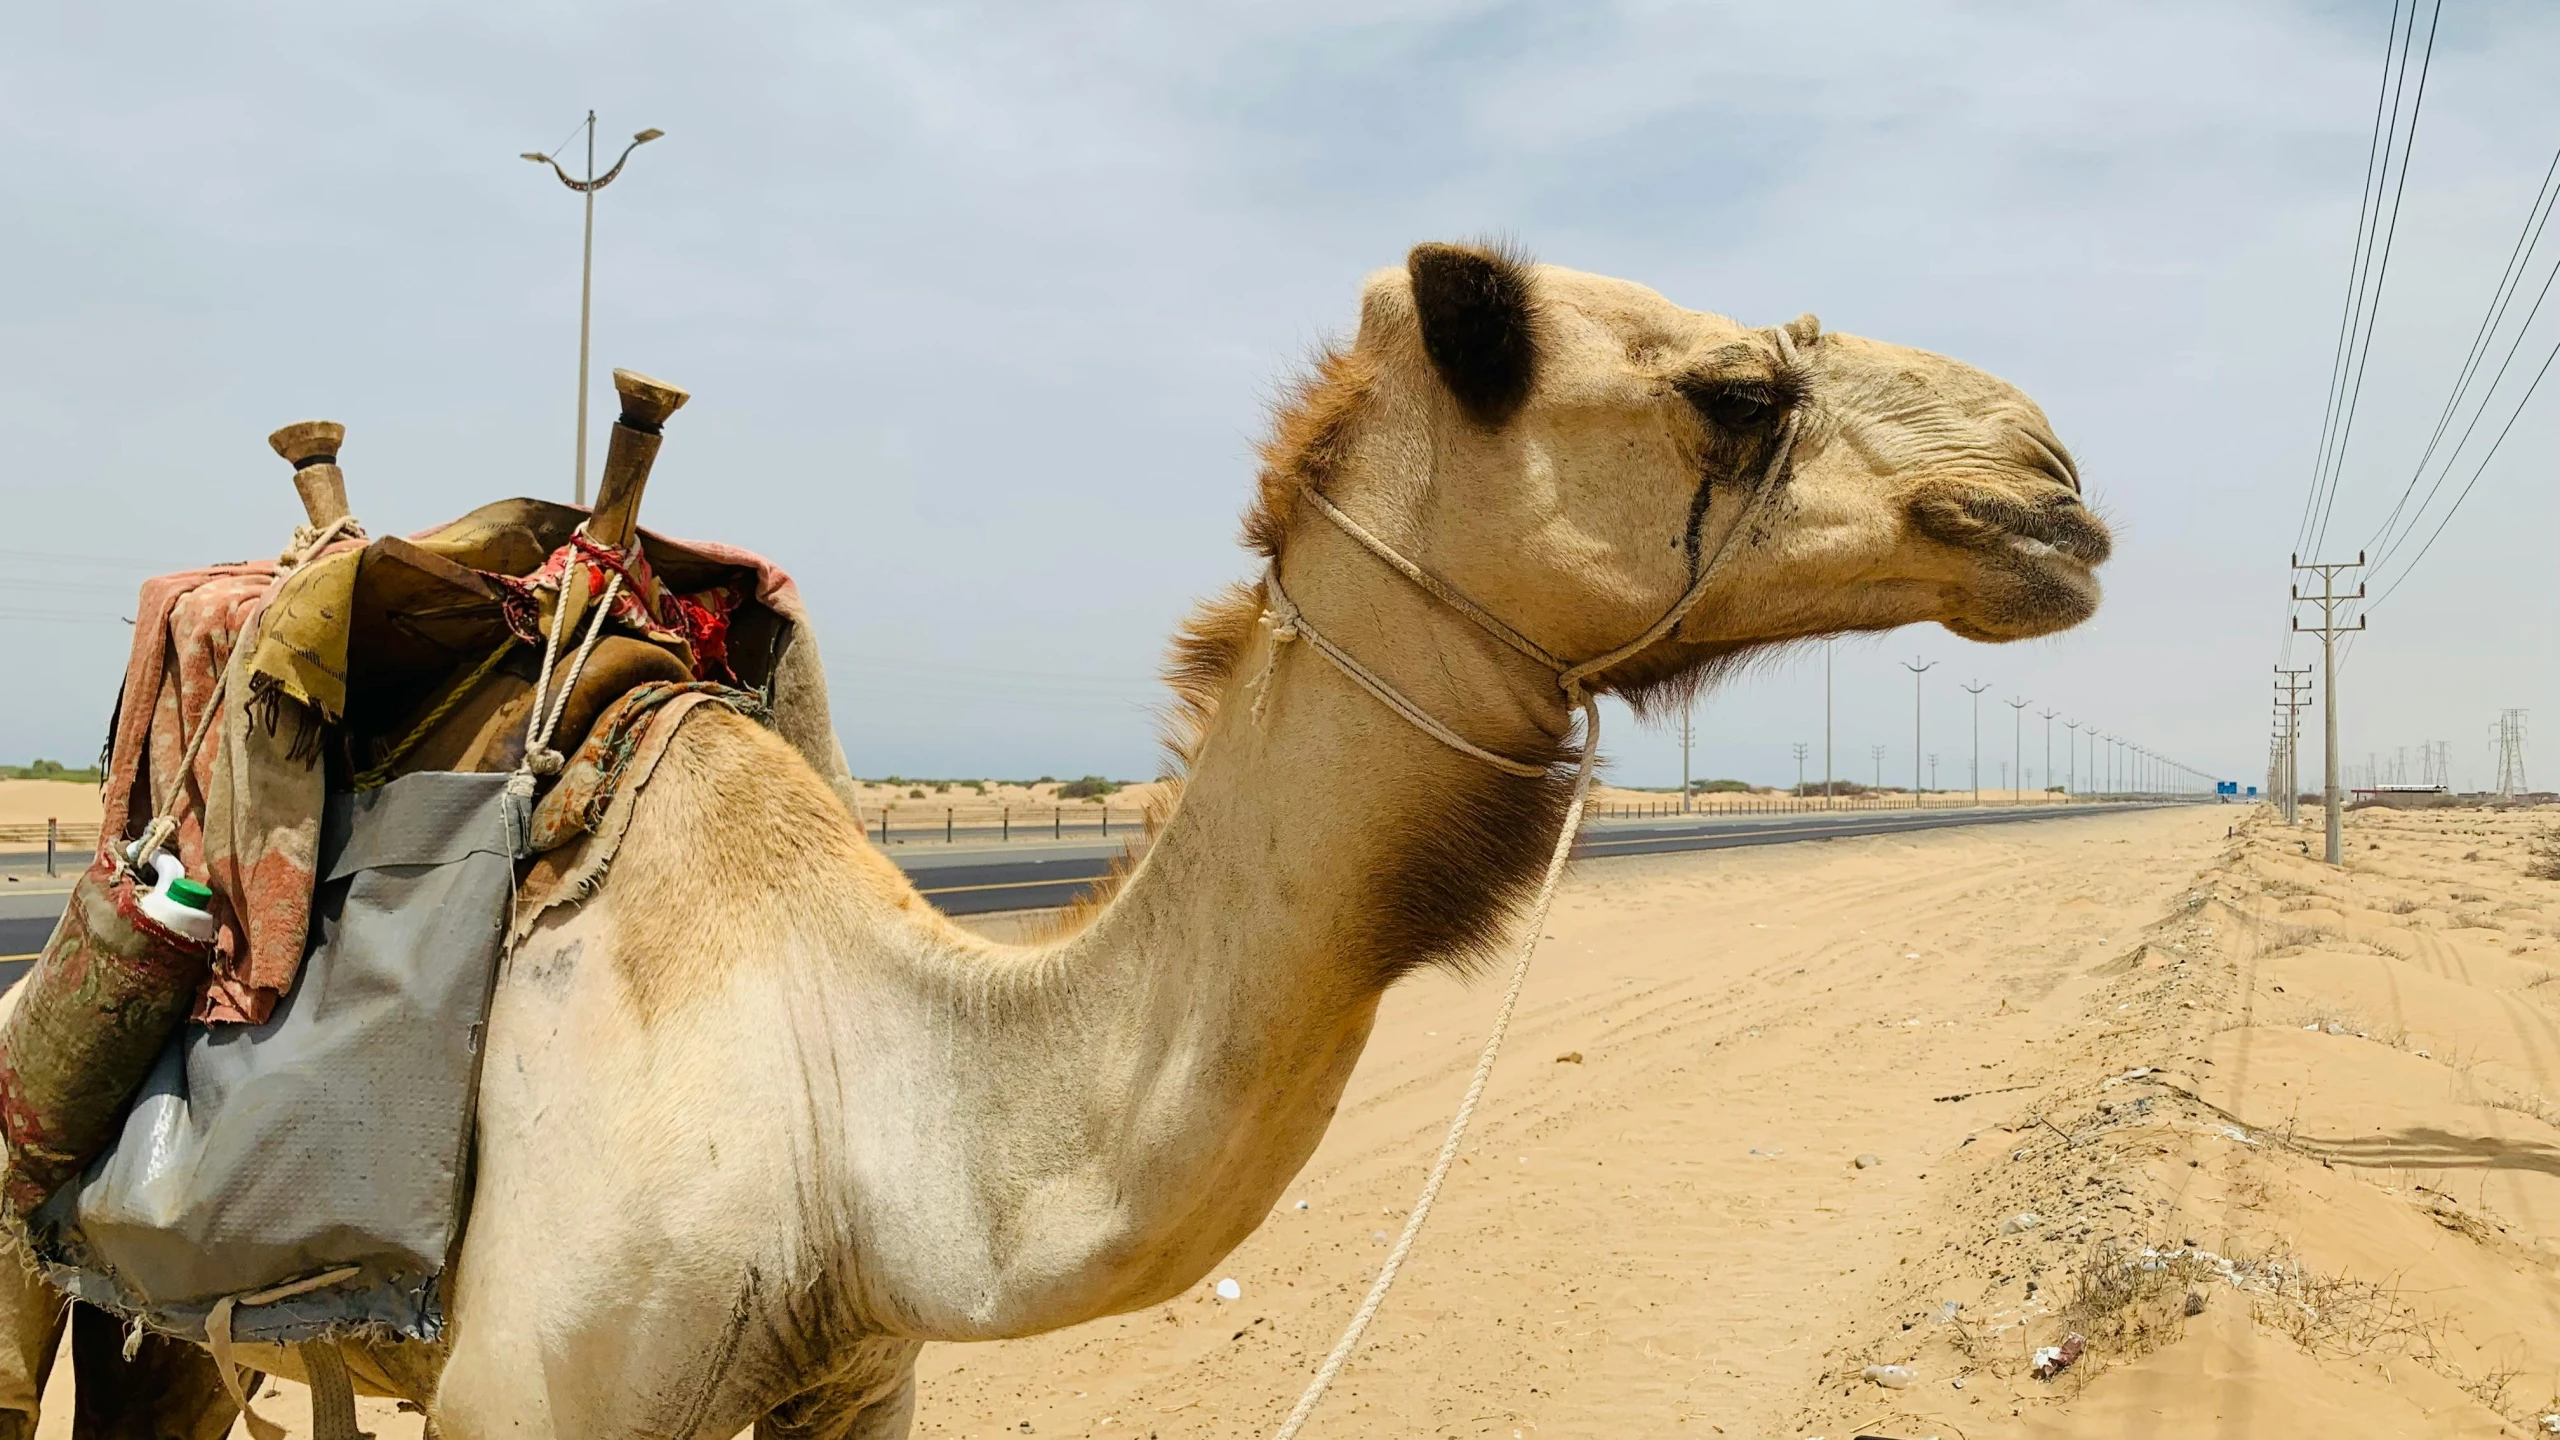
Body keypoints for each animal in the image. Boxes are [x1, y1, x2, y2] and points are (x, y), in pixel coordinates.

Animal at [0, 245, 2109, 1434]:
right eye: (1736, 390)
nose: (2055, 488)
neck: (861, 1090)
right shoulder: (540, 1395)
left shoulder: (855, 1389)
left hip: (206, 1331)